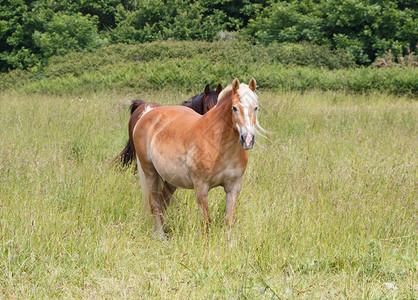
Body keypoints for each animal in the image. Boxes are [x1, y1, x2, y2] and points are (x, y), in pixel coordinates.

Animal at [132, 78, 262, 239]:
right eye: (234, 108)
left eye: (255, 107)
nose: (248, 139)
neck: (219, 144)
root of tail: (147, 113)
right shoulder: (201, 188)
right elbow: (206, 221)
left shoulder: (234, 187)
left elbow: (229, 220)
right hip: (150, 173)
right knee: (154, 203)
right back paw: (160, 235)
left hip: (171, 180)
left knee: (163, 202)